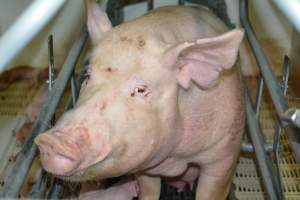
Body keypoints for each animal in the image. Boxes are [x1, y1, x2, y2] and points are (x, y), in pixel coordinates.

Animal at [34, 0, 245, 199]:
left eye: (141, 89)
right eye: (87, 76)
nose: (50, 141)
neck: (175, 158)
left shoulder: (225, 153)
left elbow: (211, 191)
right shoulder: (145, 167)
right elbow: (150, 190)